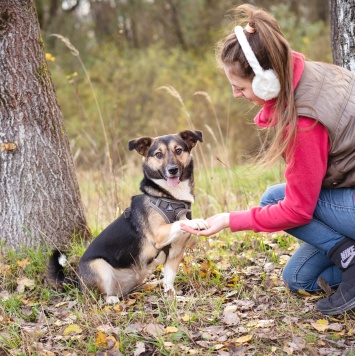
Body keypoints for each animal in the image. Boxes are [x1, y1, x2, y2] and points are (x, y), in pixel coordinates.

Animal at [47, 130, 209, 304]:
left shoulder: (176, 251)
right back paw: (110, 299)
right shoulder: (159, 234)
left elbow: (169, 280)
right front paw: (197, 221)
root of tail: (78, 281)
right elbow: (178, 223)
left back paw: (151, 284)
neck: (171, 199)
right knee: (97, 296)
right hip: (99, 266)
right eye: (158, 154)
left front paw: (173, 298)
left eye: (178, 150)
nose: (172, 170)